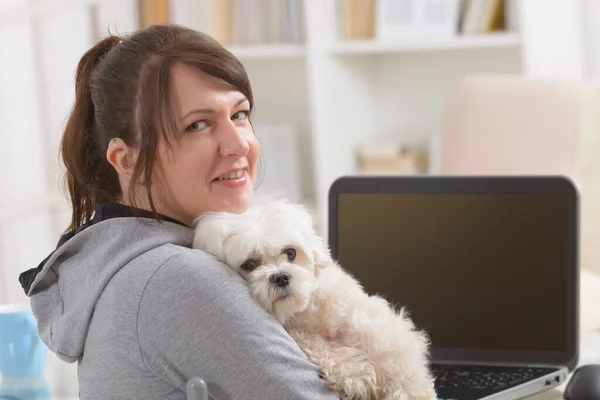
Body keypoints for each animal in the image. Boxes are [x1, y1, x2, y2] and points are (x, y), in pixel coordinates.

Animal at [192, 200, 436, 400]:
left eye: (290, 253)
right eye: (249, 264)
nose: (280, 276)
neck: (306, 312)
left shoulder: (373, 325)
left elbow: (398, 363)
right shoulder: (300, 334)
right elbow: (316, 345)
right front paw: (355, 373)